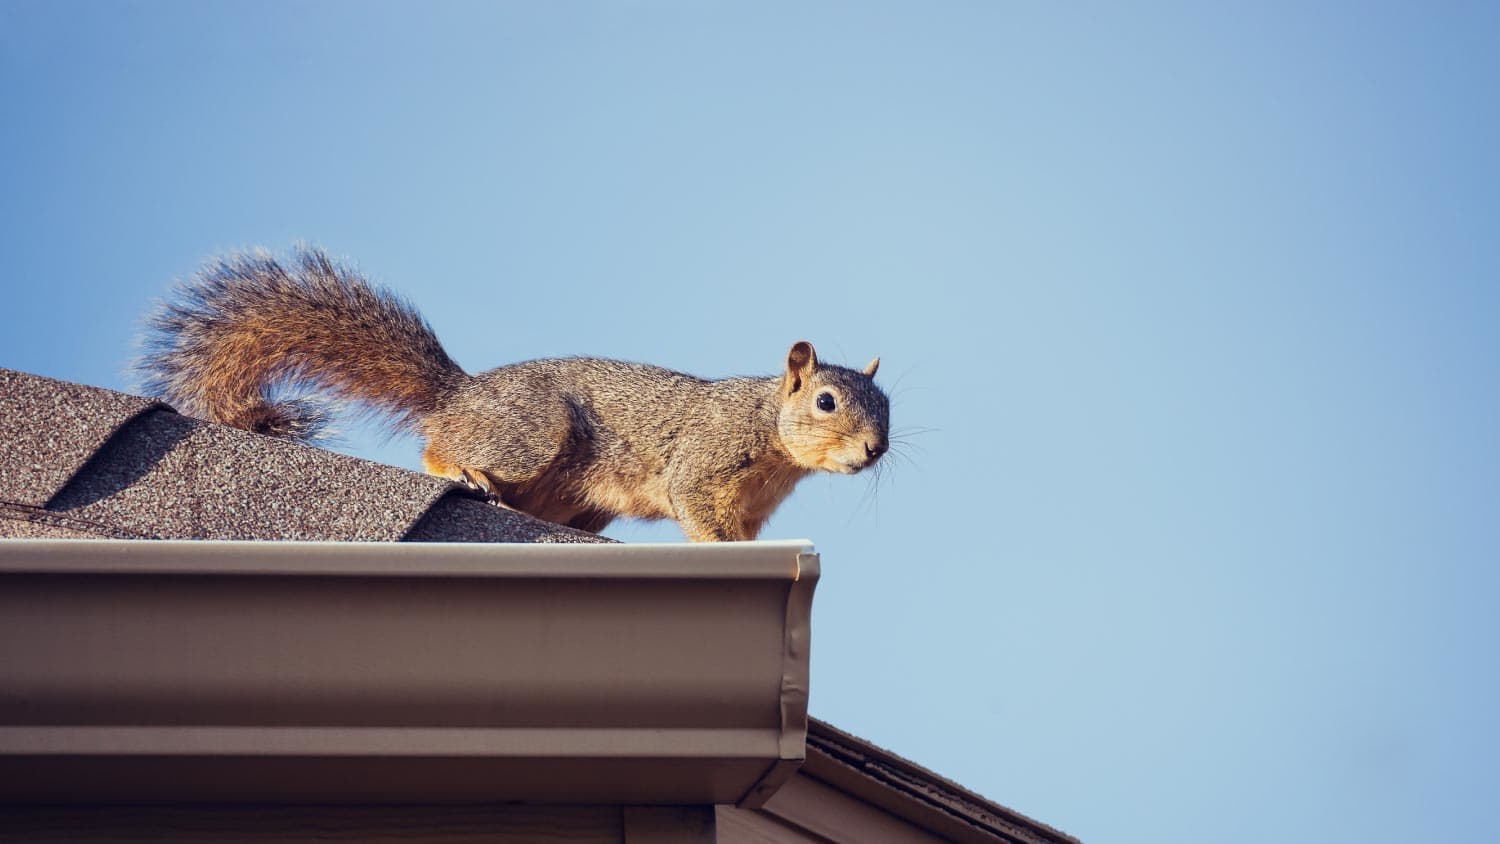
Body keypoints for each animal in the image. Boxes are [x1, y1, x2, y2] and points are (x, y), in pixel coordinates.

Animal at [137, 246, 890, 541]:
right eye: (826, 401)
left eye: (888, 408)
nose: (875, 450)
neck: (771, 434)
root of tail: (461, 394)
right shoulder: (705, 462)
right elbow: (697, 509)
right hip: (531, 433)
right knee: (438, 447)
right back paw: (463, 470)